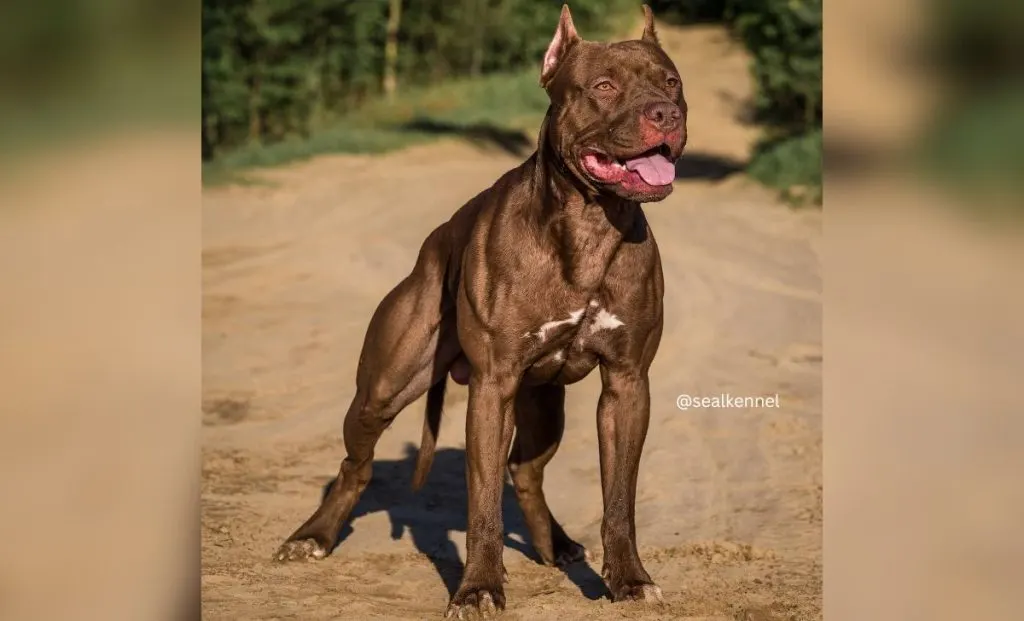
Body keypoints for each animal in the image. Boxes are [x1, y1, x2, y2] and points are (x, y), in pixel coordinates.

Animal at [276, 3, 684, 618]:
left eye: (672, 83)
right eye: (604, 87)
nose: (666, 113)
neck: (589, 226)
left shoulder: (627, 383)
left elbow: (619, 499)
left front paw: (628, 579)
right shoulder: (494, 387)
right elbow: (483, 504)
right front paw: (479, 588)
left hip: (543, 404)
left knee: (526, 471)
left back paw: (556, 544)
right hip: (384, 388)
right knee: (357, 465)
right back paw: (313, 536)